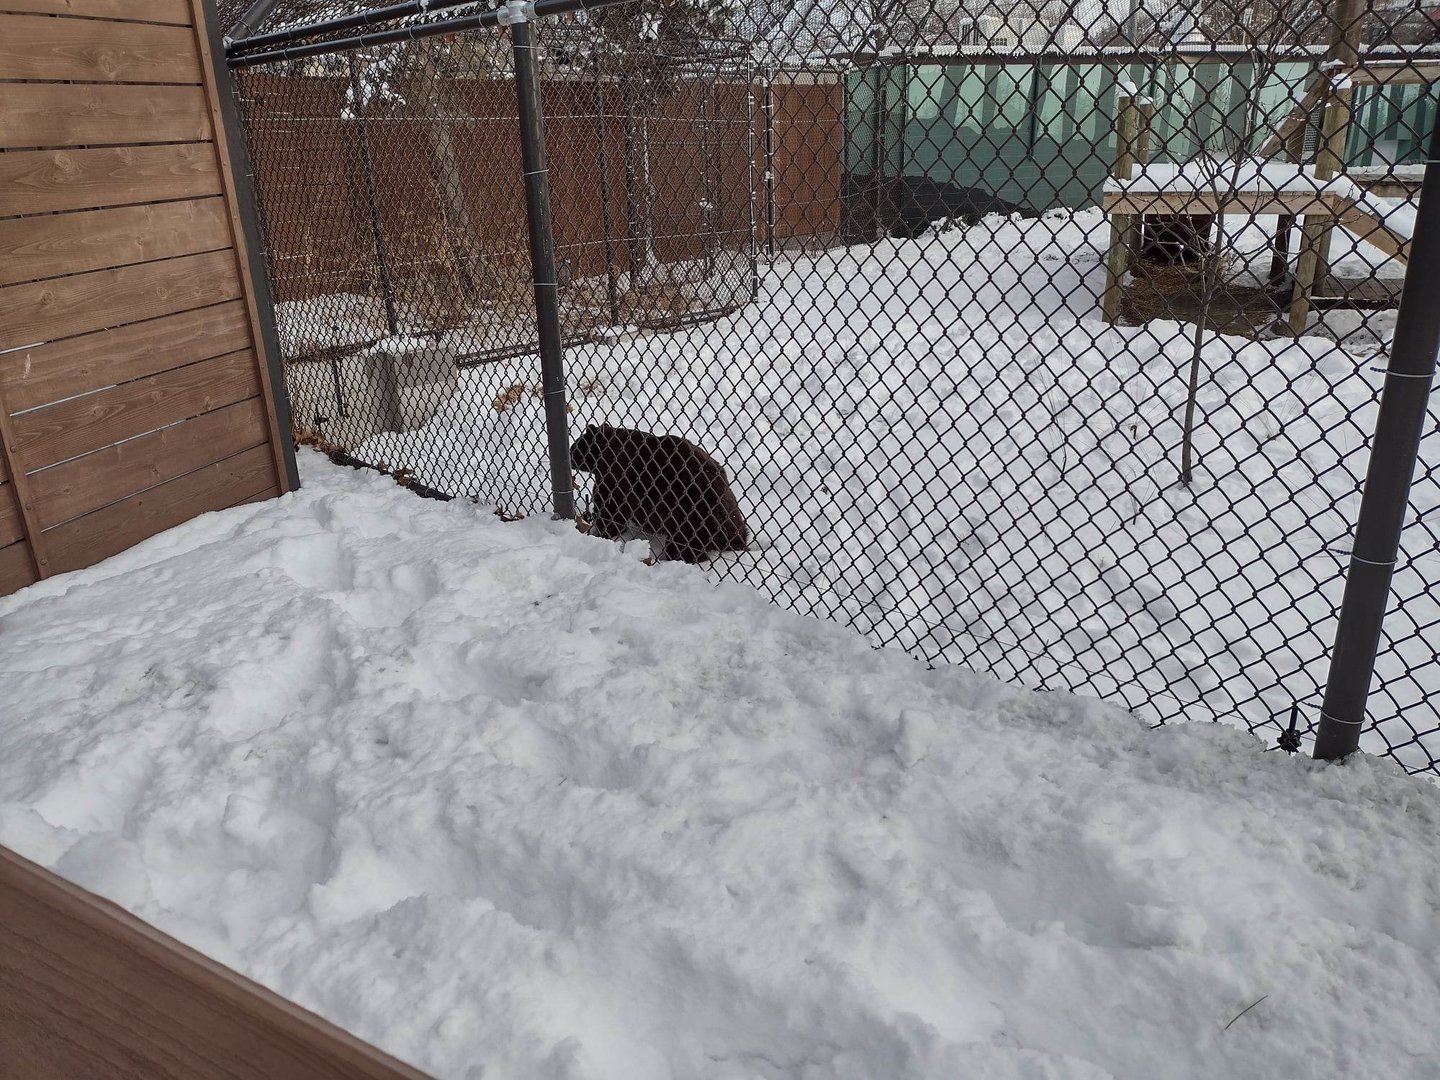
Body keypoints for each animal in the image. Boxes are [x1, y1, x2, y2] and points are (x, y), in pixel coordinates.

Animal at [570, 423, 748, 564]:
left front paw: (602, 531)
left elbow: (610, 506)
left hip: (693, 514)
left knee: (687, 544)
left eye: (575, 446)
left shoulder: (615, 476)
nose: (570, 455)